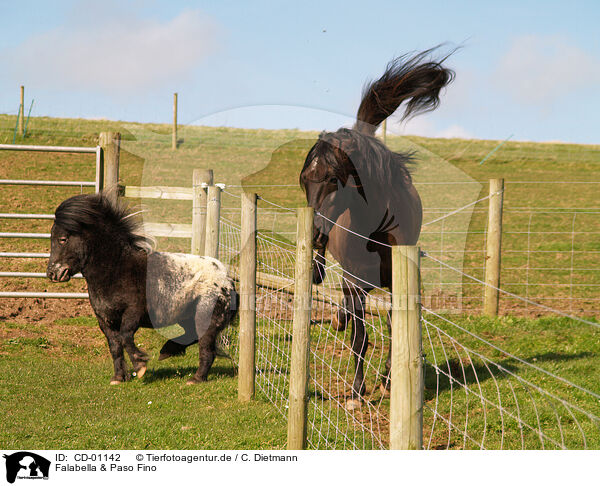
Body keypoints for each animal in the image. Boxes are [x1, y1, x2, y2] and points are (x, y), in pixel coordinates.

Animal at [45, 192, 238, 386]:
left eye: (63, 239)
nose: (52, 273)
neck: (117, 270)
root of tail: (228, 281)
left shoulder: (133, 313)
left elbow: (125, 337)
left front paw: (140, 366)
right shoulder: (104, 319)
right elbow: (115, 346)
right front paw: (118, 378)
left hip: (206, 319)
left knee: (206, 350)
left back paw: (195, 379)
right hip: (187, 318)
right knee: (192, 337)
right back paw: (167, 351)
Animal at [300, 48, 454, 406]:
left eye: (332, 179)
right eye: (304, 181)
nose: (314, 233)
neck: (378, 234)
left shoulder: (400, 285)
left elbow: (396, 331)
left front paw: (388, 380)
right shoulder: (356, 284)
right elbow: (360, 338)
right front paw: (357, 391)